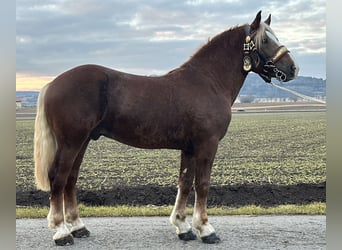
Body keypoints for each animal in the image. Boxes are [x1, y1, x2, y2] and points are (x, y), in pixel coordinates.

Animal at [33, 10, 298, 245]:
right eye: (265, 40)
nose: (293, 68)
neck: (208, 81)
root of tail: (52, 84)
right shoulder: (207, 145)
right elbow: (202, 185)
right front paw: (205, 229)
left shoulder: (189, 148)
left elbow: (185, 183)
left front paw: (183, 227)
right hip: (71, 142)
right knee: (58, 178)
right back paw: (61, 232)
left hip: (83, 140)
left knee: (70, 179)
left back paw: (78, 227)